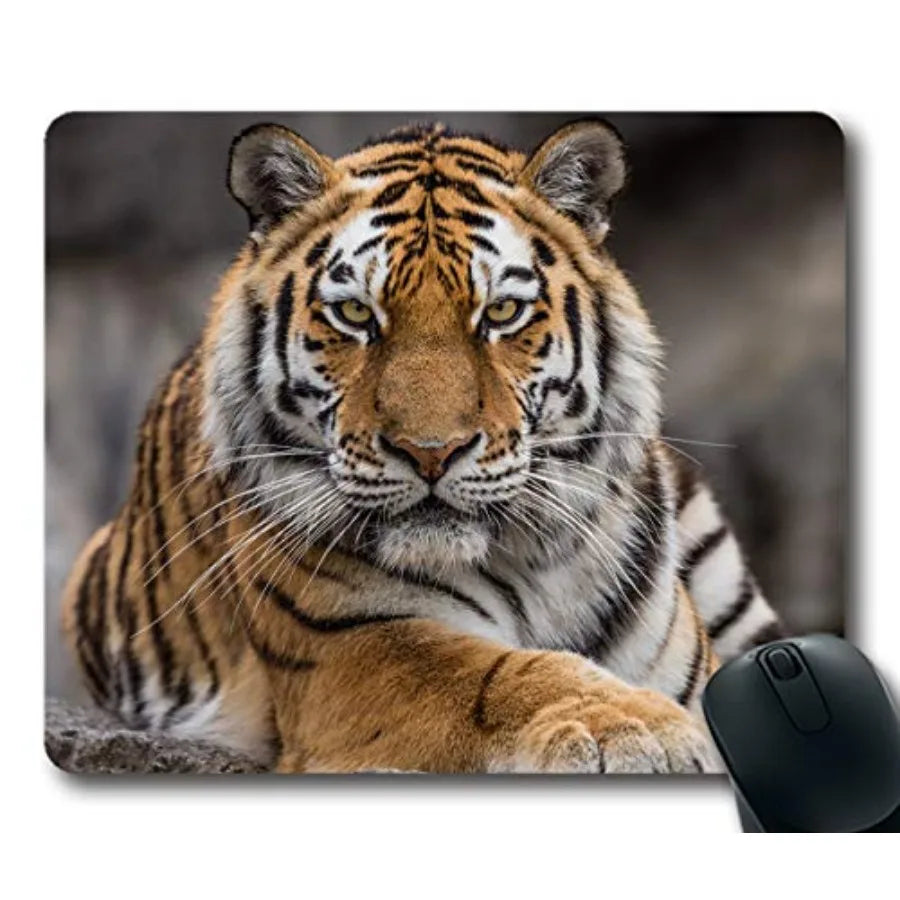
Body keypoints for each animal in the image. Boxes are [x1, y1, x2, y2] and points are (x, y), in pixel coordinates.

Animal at [61, 118, 783, 773]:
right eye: (355, 315)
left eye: (501, 313)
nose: (431, 452)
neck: (535, 565)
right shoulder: (352, 648)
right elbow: (499, 675)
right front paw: (635, 729)